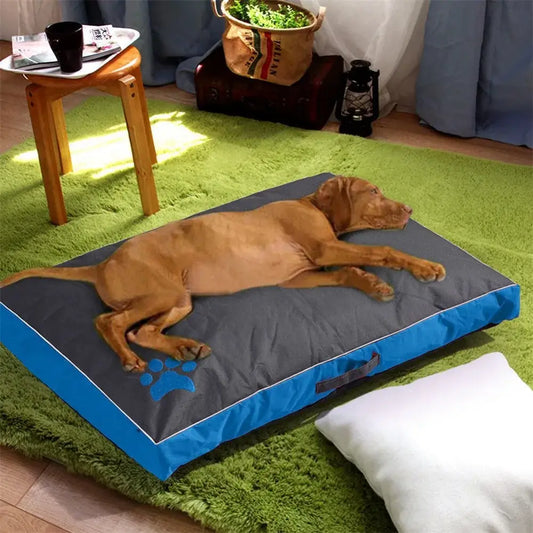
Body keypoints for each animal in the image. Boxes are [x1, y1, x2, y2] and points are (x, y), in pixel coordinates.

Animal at [1, 175, 444, 370]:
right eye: (374, 192)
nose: (409, 210)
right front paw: (426, 267)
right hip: (159, 293)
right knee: (109, 322)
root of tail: (101, 265)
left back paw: (184, 348)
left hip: (180, 299)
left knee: (141, 330)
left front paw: (370, 283)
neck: (312, 205)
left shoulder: (300, 274)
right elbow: (382, 250)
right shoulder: (323, 248)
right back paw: (129, 359)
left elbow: (347, 270)